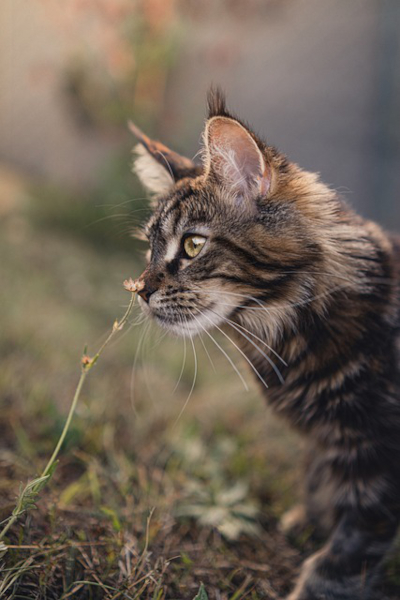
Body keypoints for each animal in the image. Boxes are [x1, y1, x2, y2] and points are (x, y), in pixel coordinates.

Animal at [130, 90, 400, 600]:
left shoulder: (377, 458)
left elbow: (343, 557)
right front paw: (309, 520)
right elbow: (317, 483)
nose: (140, 290)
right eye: (149, 250)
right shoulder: (329, 446)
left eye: (192, 246)